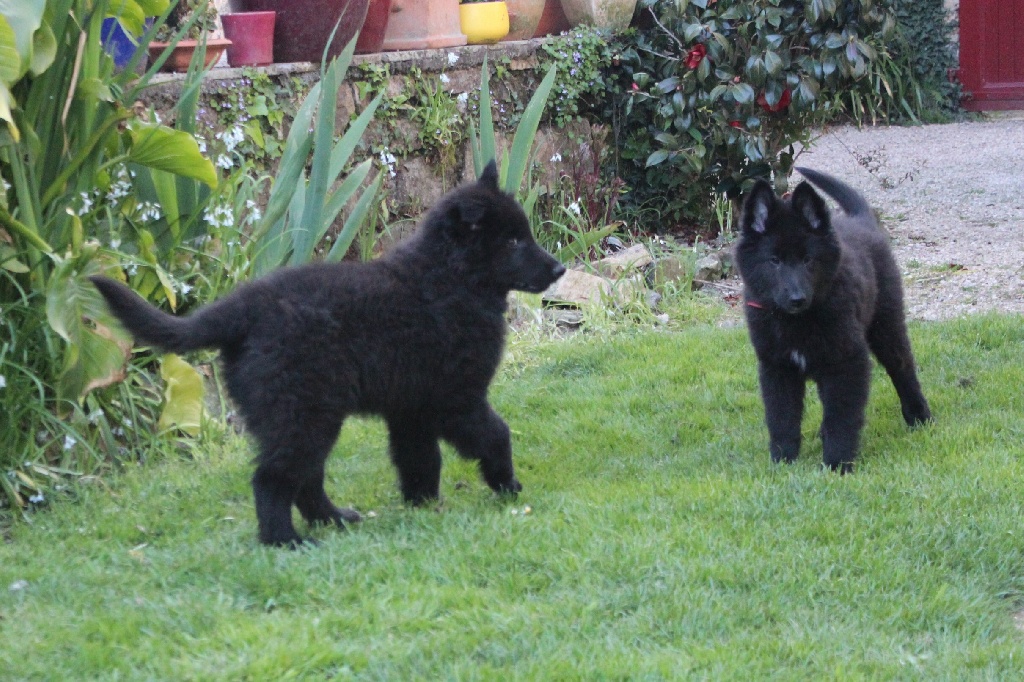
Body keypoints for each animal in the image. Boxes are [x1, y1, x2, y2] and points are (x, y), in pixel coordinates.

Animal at [91, 157, 565, 540]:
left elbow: (419, 459)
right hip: (303, 413)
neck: (451, 278)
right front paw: (507, 486)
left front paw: (423, 505)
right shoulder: (458, 397)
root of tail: (243, 306)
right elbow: (496, 434)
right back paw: (286, 540)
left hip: (305, 416)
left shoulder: (412, 407)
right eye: (513, 243)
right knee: (273, 479)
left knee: (306, 480)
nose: (560, 269)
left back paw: (334, 520)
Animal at [737, 166, 929, 471]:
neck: (797, 321)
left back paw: (919, 416)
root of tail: (861, 221)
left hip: (886, 325)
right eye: (774, 261)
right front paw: (783, 462)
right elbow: (782, 417)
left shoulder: (847, 362)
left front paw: (837, 464)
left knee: (903, 368)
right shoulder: (777, 366)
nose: (797, 299)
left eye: (808, 260)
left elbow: (842, 416)